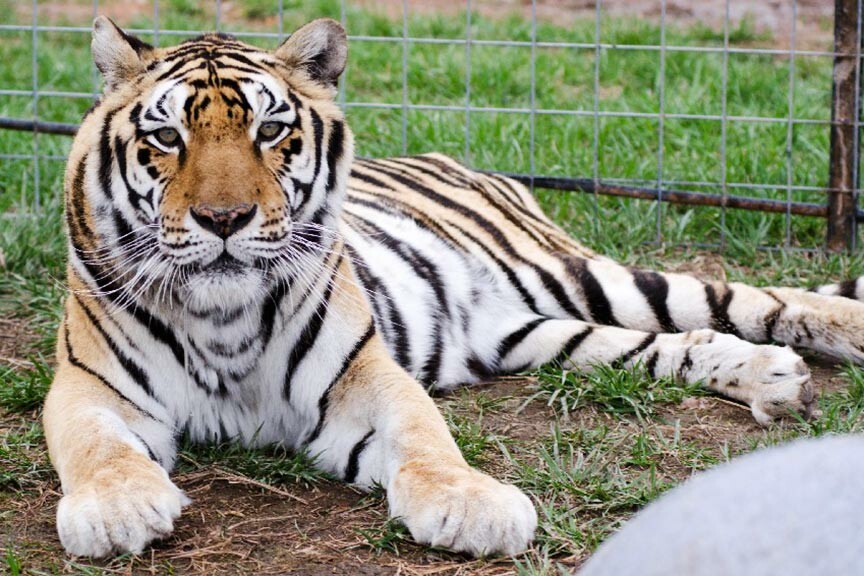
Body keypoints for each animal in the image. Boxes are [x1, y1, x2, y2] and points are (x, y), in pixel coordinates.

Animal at [47, 16, 864, 560]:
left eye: (271, 133)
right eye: (166, 138)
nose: (224, 220)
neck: (223, 317)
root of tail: (450, 158)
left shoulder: (364, 376)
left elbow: (425, 435)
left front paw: (471, 507)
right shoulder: (88, 387)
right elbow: (96, 446)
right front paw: (117, 510)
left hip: (574, 273)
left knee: (747, 300)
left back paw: (833, 338)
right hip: (537, 332)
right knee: (674, 343)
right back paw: (775, 380)